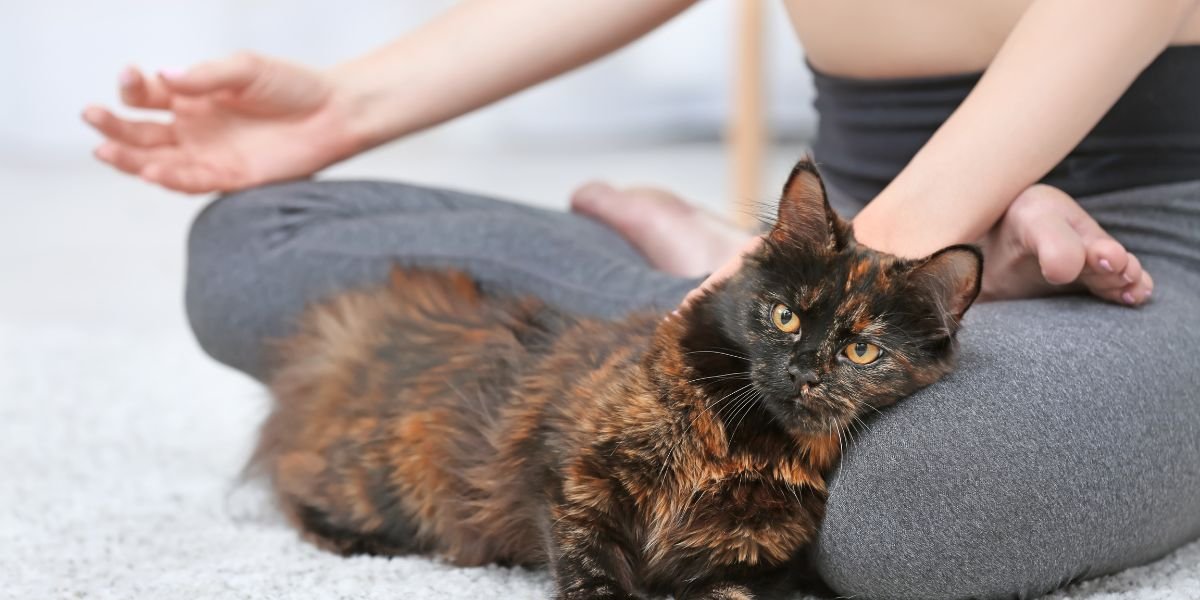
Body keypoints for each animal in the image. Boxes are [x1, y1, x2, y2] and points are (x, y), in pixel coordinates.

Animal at [248, 160, 979, 600]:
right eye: (786, 316)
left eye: (860, 350)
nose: (804, 372)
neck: (739, 445)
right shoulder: (578, 485)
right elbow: (595, 575)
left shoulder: (735, 563)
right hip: (380, 481)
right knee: (292, 481)